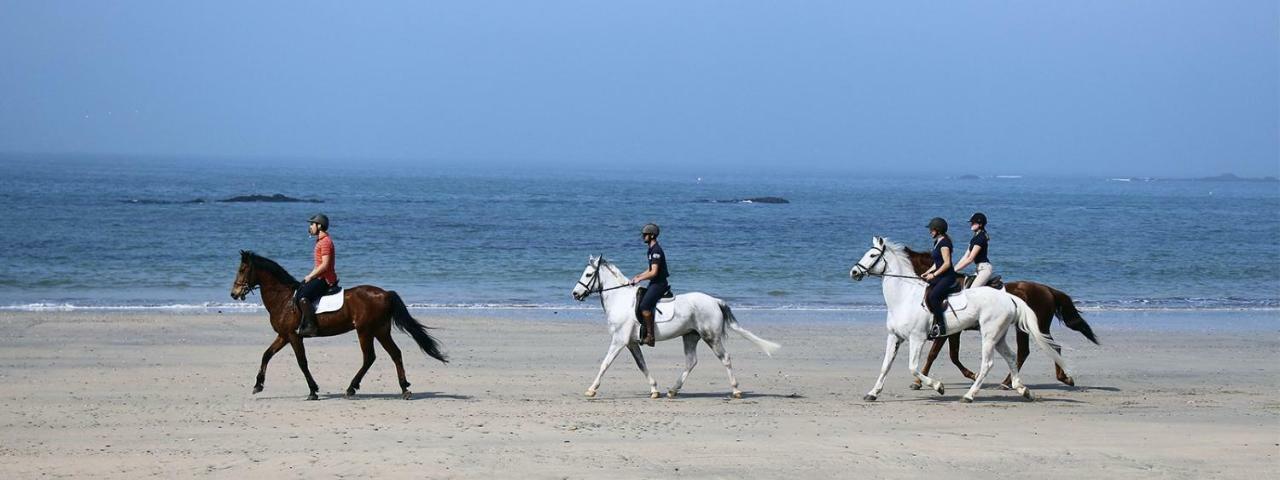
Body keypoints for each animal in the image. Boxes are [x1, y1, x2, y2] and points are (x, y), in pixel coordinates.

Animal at [230, 249, 450, 399]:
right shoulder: (284, 335)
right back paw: (404, 388)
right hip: (380, 330)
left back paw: (352, 388)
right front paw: (258, 385)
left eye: (242, 269)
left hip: (365, 331)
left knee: (369, 357)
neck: (283, 299)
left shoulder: (293, 336)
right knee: (395, 354)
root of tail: (385, 293)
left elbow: (302, 362)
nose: (234, 294)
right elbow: (266, 354)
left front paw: (313, 391)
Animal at [570, 257, 778, 399]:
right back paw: (672, 390)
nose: (575, 294)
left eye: (588, 274)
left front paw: (591, 389)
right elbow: (641, 364)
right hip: (690, 336)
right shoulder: (630, 343)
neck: (620, 299)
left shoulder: (619, 340)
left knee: (725, 359)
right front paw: (654, 389)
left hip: (711, 337)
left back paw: (736, 390)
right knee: (691, 361)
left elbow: (605, 363)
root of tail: (715, 301)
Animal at [849, 236, 1070, 401]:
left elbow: (915, 366)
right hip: (1000, 335)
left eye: (873, 255)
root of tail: (1008, 297)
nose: (854, 272)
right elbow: (886, 365)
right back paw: (1021, 388)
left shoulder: (919, 338)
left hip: (991, 335)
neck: (904, 297)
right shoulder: (895, 337)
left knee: (990, 363)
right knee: (1013, 356)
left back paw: (970, 395)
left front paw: (937, 386)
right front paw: (873, 393)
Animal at [901, 245, 1100, 389]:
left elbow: (936, 355)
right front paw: (971, 375)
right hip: (1025, 327)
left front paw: (918, 382)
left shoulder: (947, 331)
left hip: (1037, 326)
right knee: (1030, 350)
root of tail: (1048, 290)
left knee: (1048, 348)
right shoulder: (953, 332)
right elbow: (952, 355)